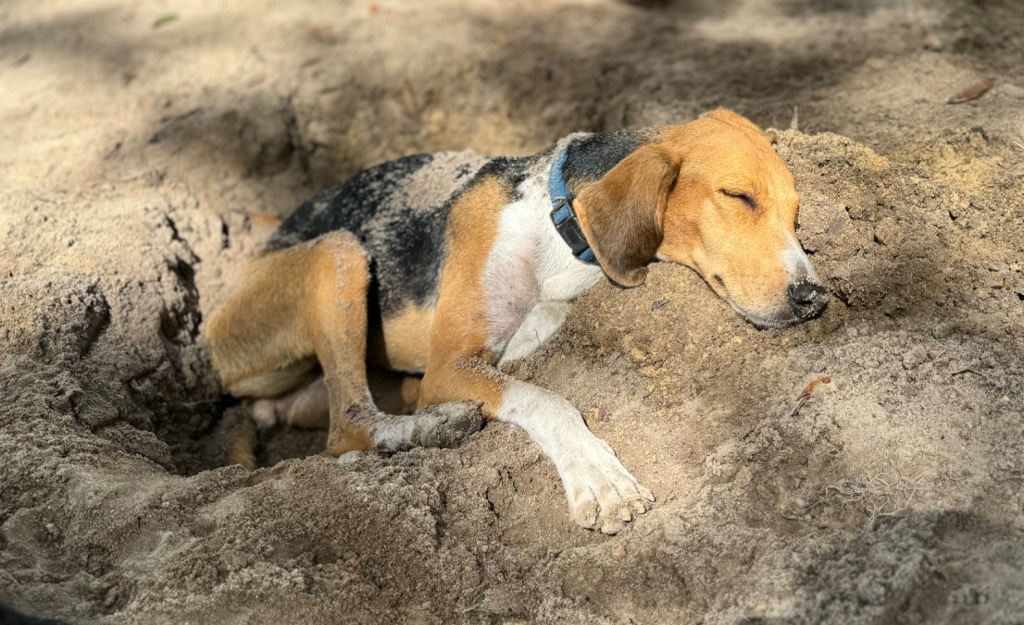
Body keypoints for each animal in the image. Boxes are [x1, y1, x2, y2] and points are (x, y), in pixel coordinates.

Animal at [203, 107, 827, 528]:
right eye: (737, 196)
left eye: (797, 213)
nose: (814, 296)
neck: (556, 225)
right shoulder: (452, 364)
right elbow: (546, 398)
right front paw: (598, 476)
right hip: (337, 253)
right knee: (347, 429)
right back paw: (435, 425)